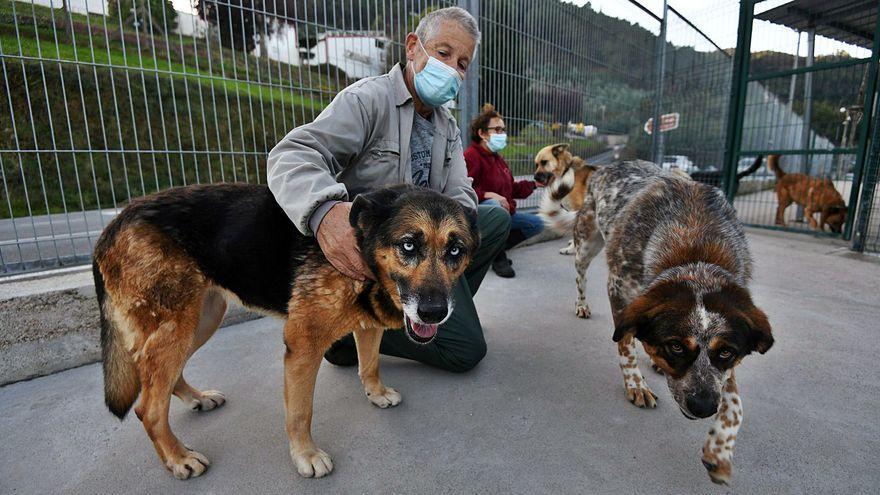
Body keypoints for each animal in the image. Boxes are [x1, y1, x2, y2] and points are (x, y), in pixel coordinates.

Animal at [93, 183, 478, 480]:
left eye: (455, 250)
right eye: (408, 245)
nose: (434, 312)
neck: (360, 247)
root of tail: (114, 223)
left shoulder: (368, 325)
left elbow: (370, 364)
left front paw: (376, 392)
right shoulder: (303, 347)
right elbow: (300, 412)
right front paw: (305, 455)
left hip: (203, 317)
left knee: (163, 376)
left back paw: (197, 398)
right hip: (179, 324)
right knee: (148, 406)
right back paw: (178, 458)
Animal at [540, 161, 772, 486]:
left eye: (726, 352)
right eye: (675, 346)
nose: (703, 407)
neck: (694, 251)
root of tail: (607, 166)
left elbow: (735, 405)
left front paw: (720, 452)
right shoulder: (619, 288)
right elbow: (625, 346)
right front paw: (636, 384)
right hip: (587, 244)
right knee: (580, 276)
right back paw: (582, 304)